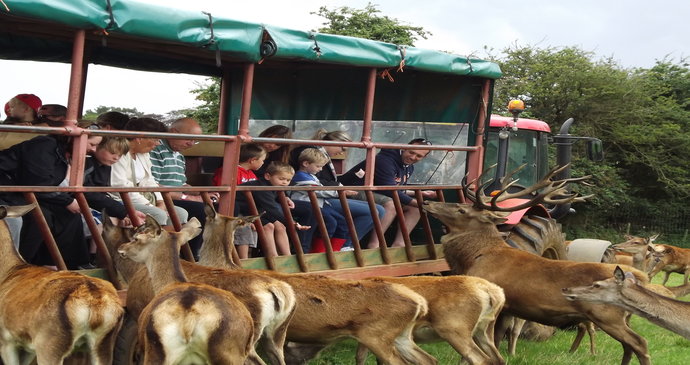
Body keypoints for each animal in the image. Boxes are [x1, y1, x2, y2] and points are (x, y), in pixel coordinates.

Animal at [0, 203, 122, 362]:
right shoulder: (27, 347)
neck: (7, 272)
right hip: (105, 344)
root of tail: (94, 304)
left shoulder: (6, 340)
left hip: (49, 343)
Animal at [422, 166, 652, 364]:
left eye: (461, 210)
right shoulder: (507, 308)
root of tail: (640, 277)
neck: (475, 256)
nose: (427, 203)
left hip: (607, 314)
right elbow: (495, 342)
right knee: (628, 346)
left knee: (639, 342)